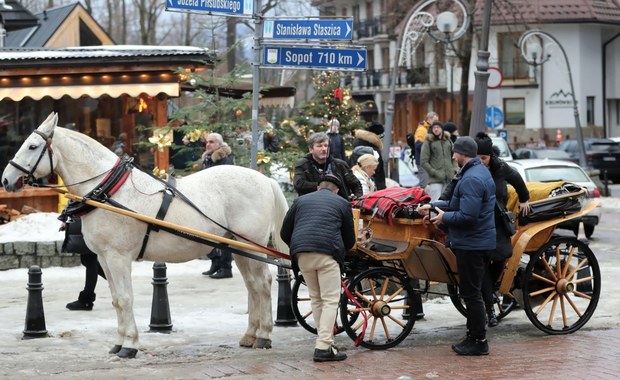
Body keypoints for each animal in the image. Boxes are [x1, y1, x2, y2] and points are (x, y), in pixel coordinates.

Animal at [1, 112, 290, 356]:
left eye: (32, 146)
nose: (6, 179)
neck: (110, 191)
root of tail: (266, 180)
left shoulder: (118, 257)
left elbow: (125, 298)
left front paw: (129, 345)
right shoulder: (104, 258)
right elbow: (117, 300)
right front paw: (119, 343)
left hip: (250, 245)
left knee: (263, 284)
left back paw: (263, 335)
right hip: (239, 247)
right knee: (252, 286)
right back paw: (250, 334)